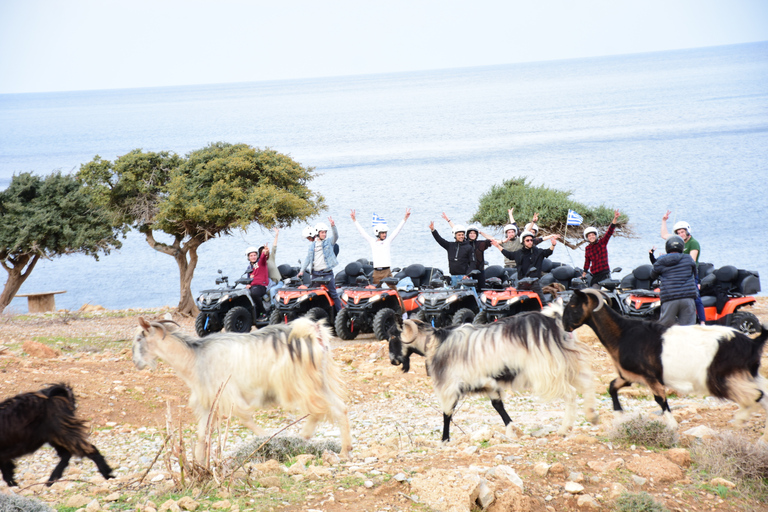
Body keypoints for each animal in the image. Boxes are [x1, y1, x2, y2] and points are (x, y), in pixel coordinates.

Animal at [133, 316, 352, 460]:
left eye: (139, 338)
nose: (136, 362)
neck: (195, 358)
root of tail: (316, 334)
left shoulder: (227, 393)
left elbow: (245, 419)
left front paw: (266, 439)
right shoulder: (207, 402)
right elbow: (202, 435)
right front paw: (199, 465)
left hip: (300, 382)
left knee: (318, 409)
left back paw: (304, 437)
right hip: (320, 380)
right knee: (339, 408)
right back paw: (344, 450)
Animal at [388, 302, 596, 442]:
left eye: (393, 336)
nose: (393, 360)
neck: (435, 343)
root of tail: (553, 322)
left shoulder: (449, 385)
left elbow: (447, 413)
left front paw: (444, 440)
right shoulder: (487, 382)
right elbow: (498, 406)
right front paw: (512, 429)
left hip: (547, 372)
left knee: (570, 393)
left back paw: (564, 428)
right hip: (567, 364)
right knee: (587, 384)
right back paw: (592, 416)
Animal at [560, 288, 768, 440]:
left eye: (573, 304)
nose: (564, 325)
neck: (623, 333)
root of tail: (752, 343)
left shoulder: (649, 376)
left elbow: (660, 399)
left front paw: (672, 425)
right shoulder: (629, 376)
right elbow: (612, 387)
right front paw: (619, 417)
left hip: (720, 378)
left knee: (755, 395)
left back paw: (739, 420)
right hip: (748, 374)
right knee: (763, 394)